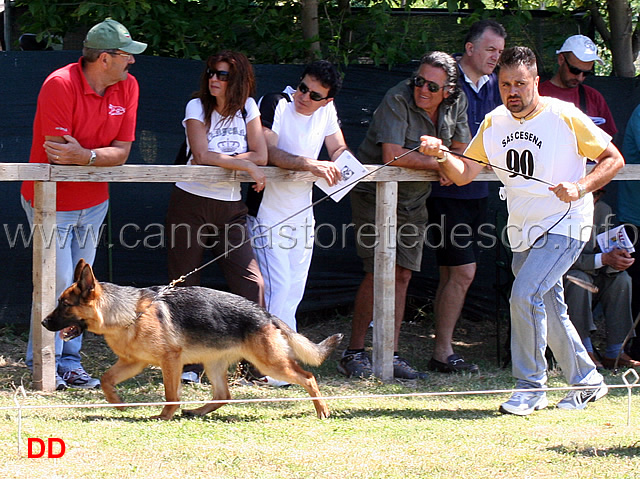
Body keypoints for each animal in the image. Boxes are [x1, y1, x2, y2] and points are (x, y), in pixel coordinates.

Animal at [42, 260, 342, 422]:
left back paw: (322, 410)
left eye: (64, 305)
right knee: (223, 395)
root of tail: (266, 314)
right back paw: (197, 411)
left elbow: (171, 395)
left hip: (271, 364)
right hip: (214, 365)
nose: (44, 323)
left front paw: (164, 417)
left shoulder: (170, 361)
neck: (129, 313)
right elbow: (106, 379)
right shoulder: (133, 363)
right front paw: (118, 402)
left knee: (308, 378)